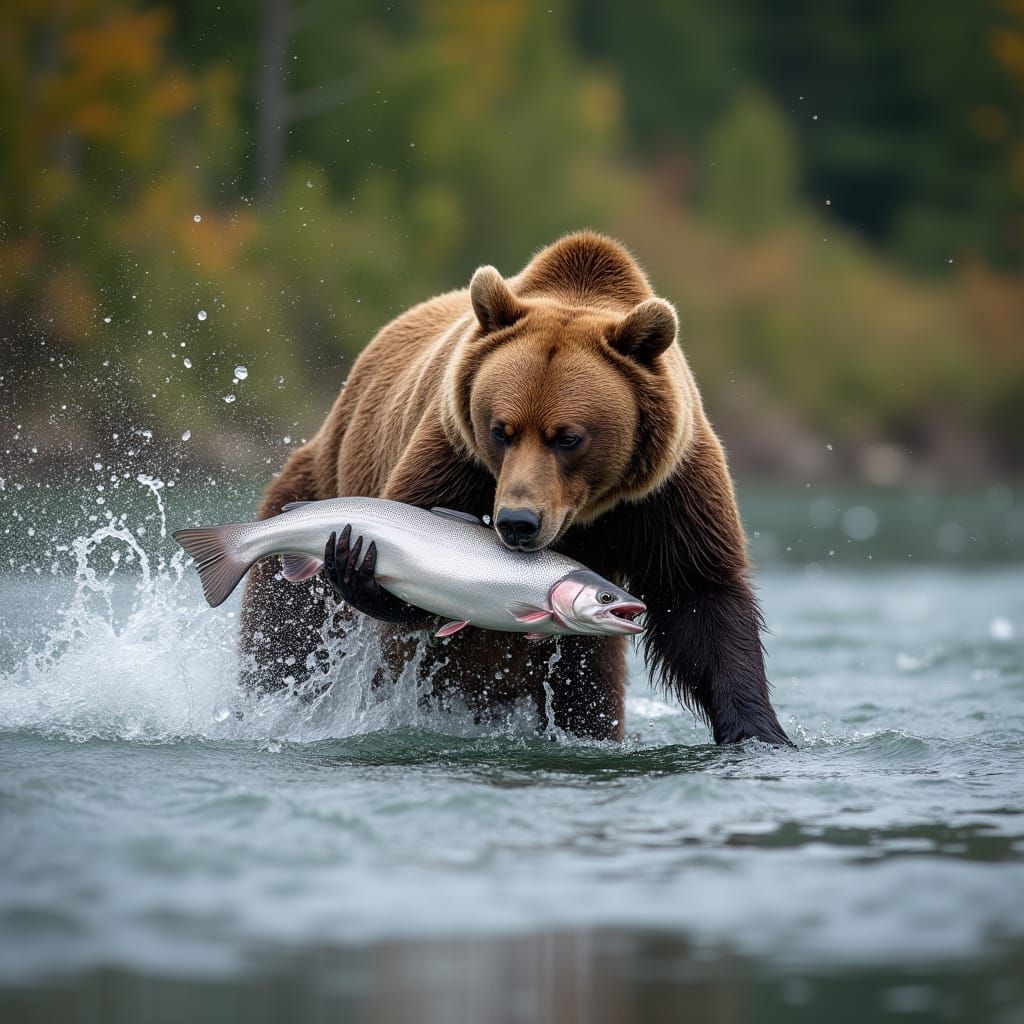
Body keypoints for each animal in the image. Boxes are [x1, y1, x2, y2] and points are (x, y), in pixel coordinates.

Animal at [239, 232, 791, 746]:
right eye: (501, 429)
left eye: (568, 436)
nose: (517, 522)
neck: (585, 513)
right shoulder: (455, 457)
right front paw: (363, 571)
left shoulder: (666, 492)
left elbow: (701, 597)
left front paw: (758, 731)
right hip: (314, 490)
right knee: (284, 638)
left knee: (588, 688)